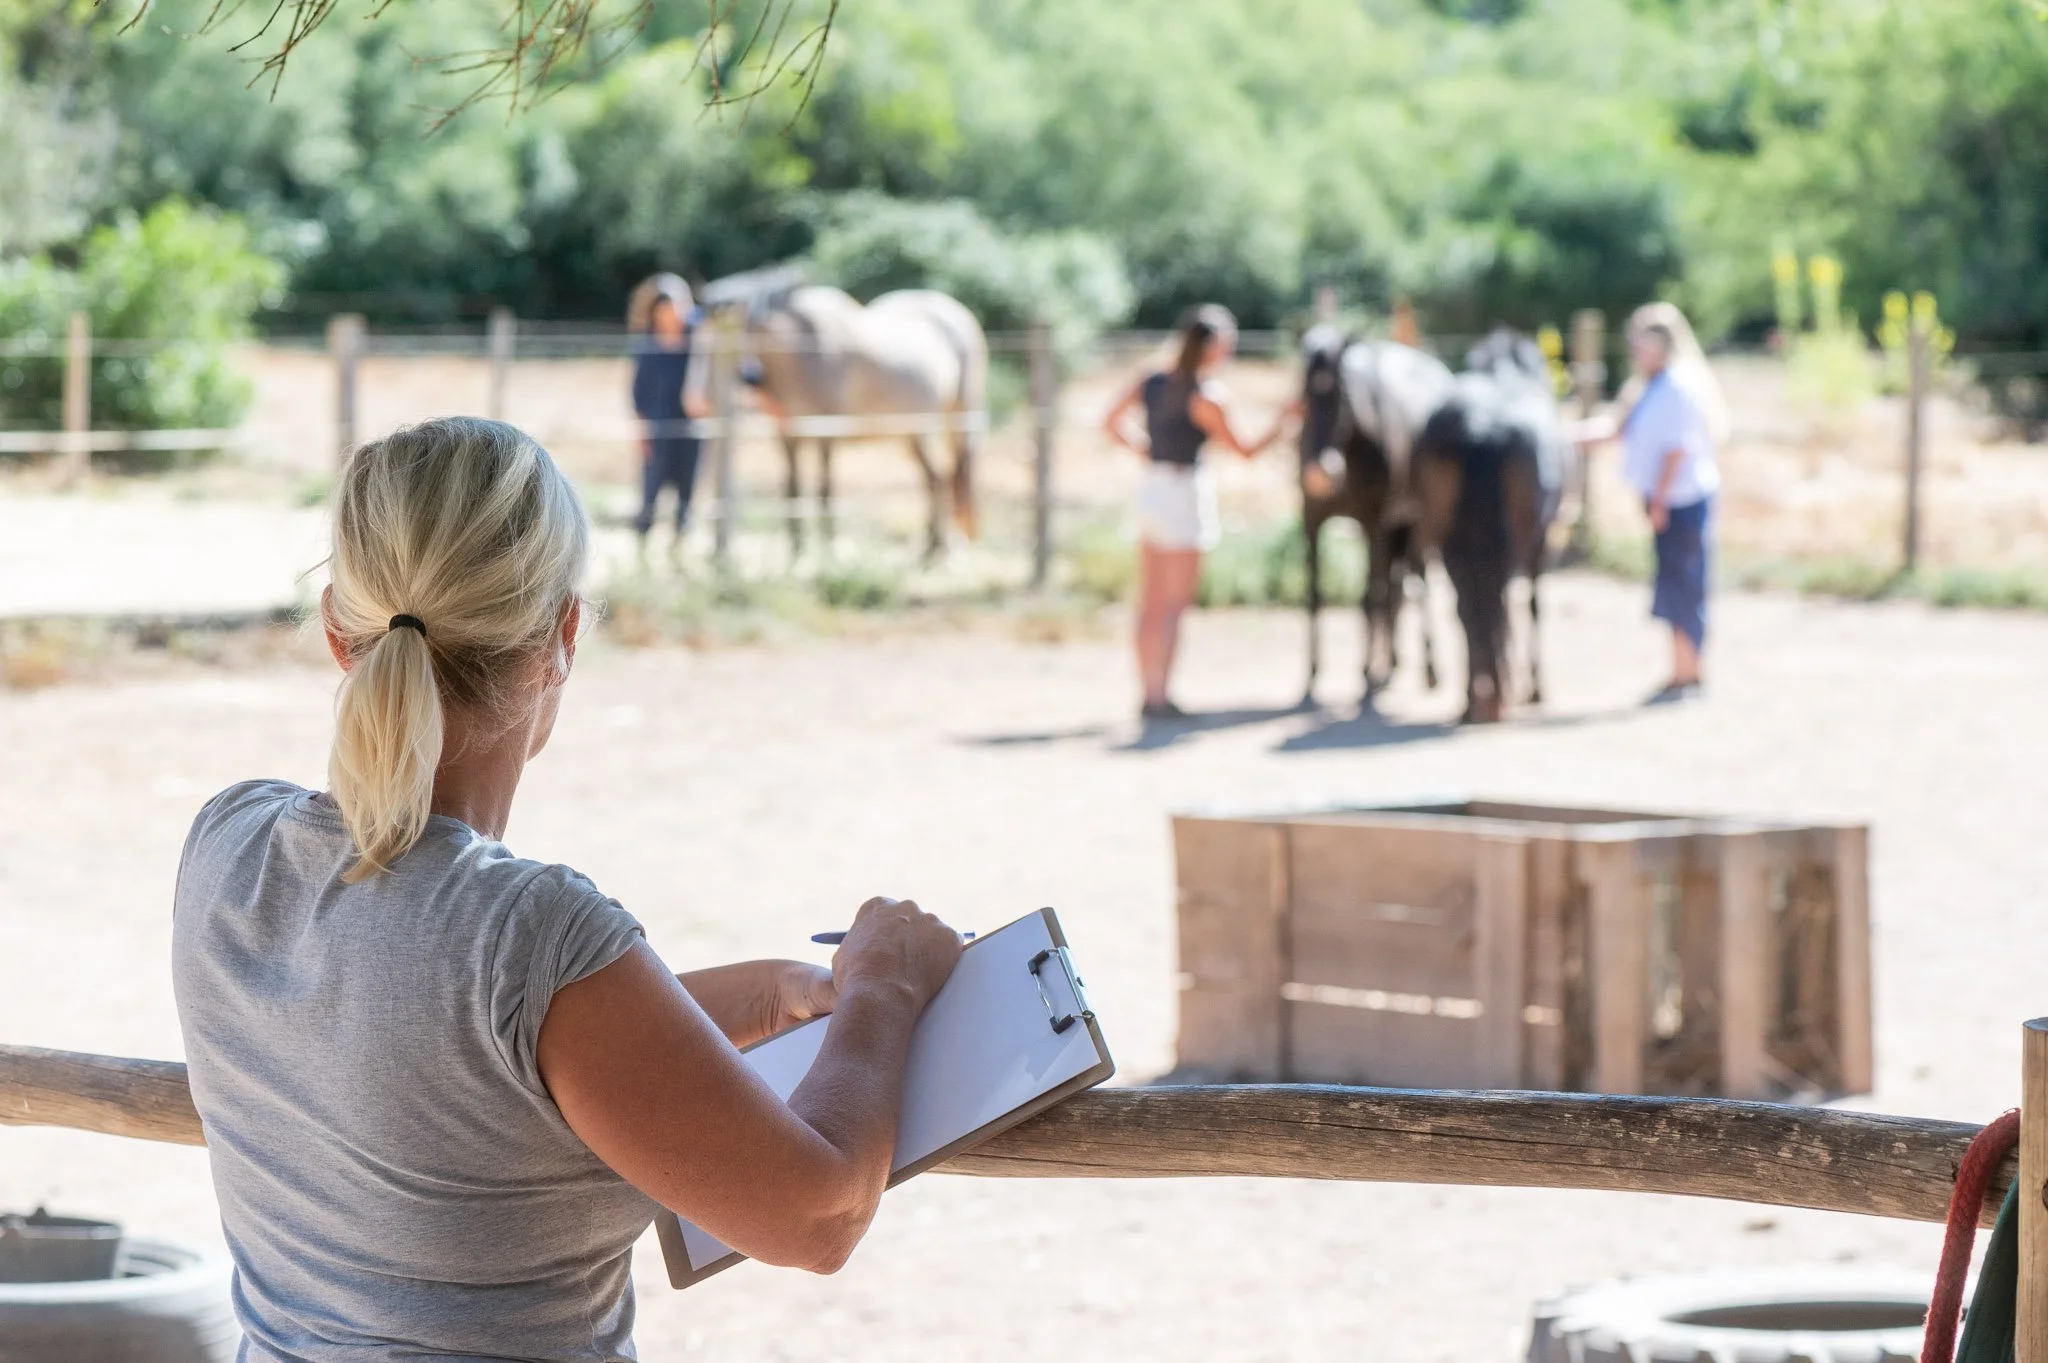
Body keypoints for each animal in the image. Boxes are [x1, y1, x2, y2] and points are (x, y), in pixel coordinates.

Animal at [703, 270, 987, 560]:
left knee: (953, 475)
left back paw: (941, 546)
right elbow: (792, 490)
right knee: (936, 479)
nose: (749, 377)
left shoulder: (826, 432)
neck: (800, 357)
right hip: (912, 430)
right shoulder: (787, 435)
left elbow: (825, 490)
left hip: (958, 418)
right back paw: (933, 546)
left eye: (757, 332)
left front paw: (828, 548)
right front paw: (796, 549)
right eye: (730, 338)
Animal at [1296, 325, 1457, 705]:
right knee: (1397, 587)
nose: (1321, 473)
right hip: (1398, 528)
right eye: (1304, 392)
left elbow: (1371, 595)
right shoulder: (1311, 521)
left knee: (1413, 583)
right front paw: (1312, 676)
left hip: (1415, 524)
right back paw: (1393, 663)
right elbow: (1315, 595)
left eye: (1341, 393)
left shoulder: (1375, 524)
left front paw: (1366, 674)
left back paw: (1427, 669)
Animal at [1413, 328, 1571, 724]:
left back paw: (1475, 699)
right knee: (1499, 602)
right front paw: (1534, 688)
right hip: (1515, 539)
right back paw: (1498, 697)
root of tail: (1481, 423)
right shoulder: (1541, 545)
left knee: (1469, 607)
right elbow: (1532, 605)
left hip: (1447, 538)